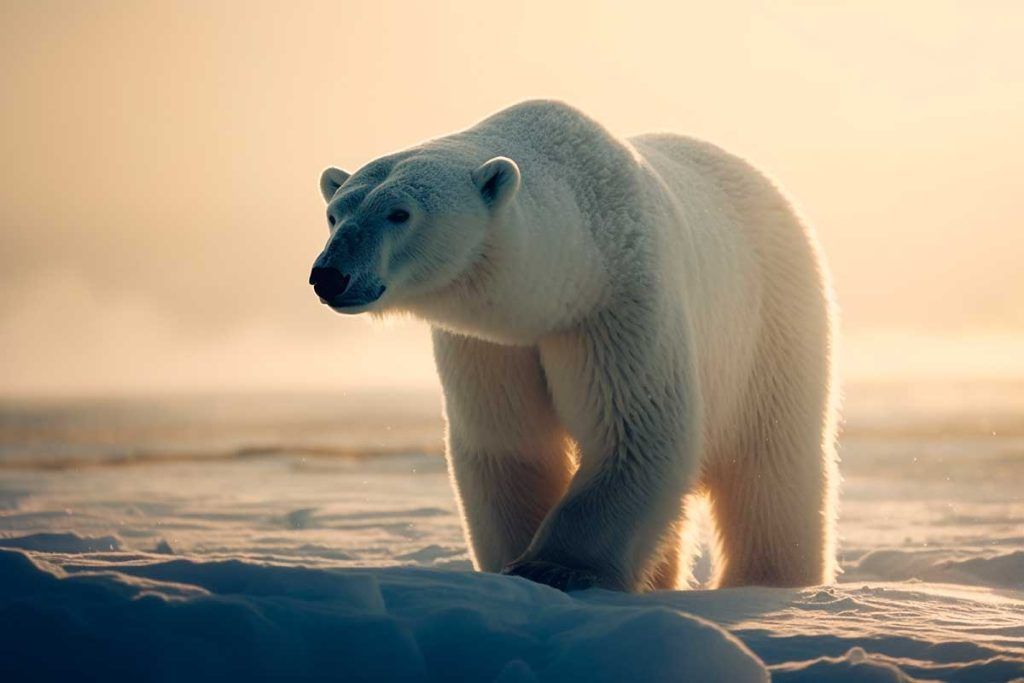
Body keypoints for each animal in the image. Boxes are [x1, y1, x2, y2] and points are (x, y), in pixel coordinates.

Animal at [310, 100, 838, 592]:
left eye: (399, 213)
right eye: (334, 214)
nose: (329, 275)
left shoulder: (619, 304)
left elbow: (634, 432)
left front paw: (555, 569)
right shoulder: (490, 343)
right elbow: (509, 443)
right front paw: (513, 567)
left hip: (772, 321)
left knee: (771, 464)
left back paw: (770, 579)